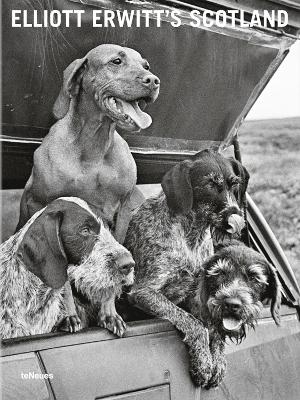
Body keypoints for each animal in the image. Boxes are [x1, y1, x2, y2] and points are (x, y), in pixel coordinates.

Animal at [15, 43, 161, 244]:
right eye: (116, 61)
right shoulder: (37, 202)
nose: (154, 80)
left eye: (146, 66)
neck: (94, 145)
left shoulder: (124, 209)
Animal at [125, 150, 251, 388]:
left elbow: (214, 327)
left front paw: (218, 360)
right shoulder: (144, 292)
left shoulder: (197, 295)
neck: (191, 235)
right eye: (210, 184)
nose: (237, 217)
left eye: (234, 184)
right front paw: (203, 362)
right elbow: (194, 323)